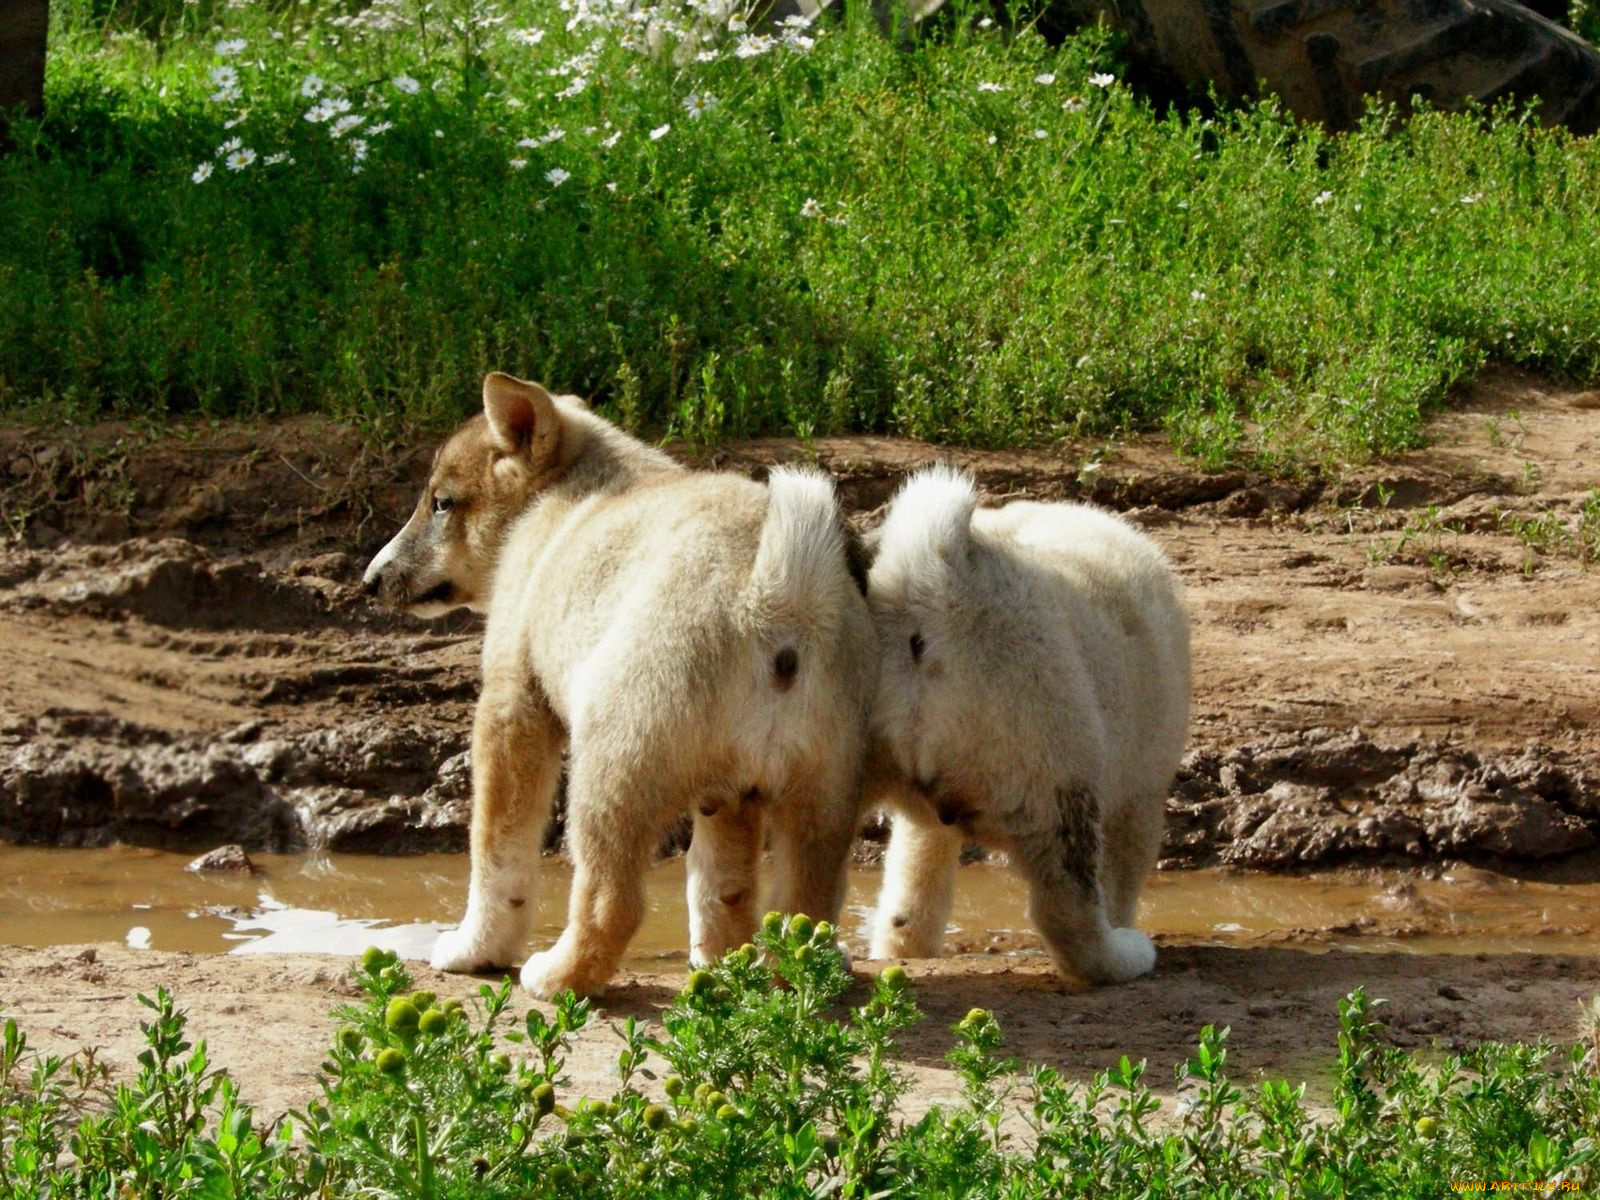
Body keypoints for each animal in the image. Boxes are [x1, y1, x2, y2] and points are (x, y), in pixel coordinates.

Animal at [364, 374, 876, 998]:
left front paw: (473, 949)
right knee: (799, 907)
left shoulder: (512, 706)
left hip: (611, 774)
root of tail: (773, 593)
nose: (369, 579)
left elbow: (496, 854)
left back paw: (557, 976)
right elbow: (720, 887)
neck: (566, 494)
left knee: (613, 902)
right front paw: (720, 961)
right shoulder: (734, 796)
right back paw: (751, 980)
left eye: (442, 503)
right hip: (816, 798)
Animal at [864, 470, 1190, 985]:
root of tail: (941, 587)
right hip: (1043, 722)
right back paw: (1122, 955)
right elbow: (1127, 854)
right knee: (1066, 891)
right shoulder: (1142, 772)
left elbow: (919, 852)